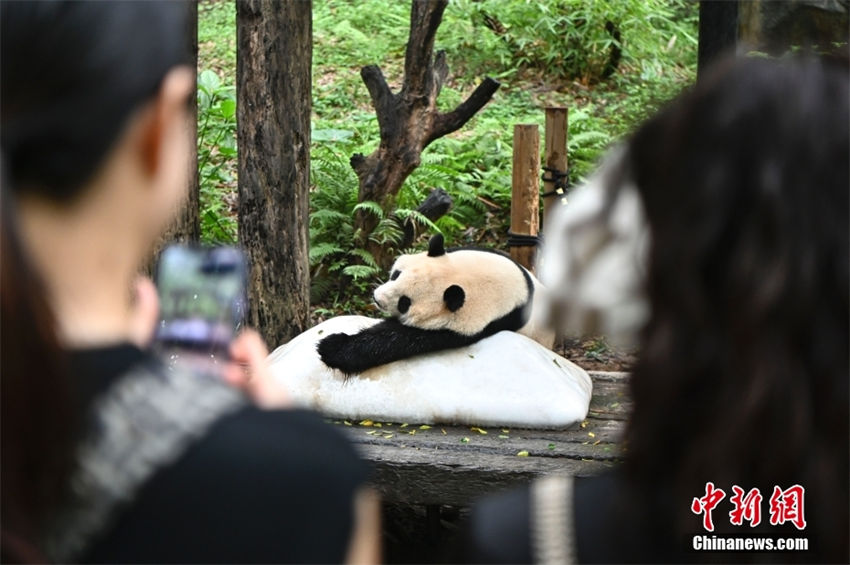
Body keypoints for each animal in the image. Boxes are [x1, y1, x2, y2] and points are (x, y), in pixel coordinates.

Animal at [316, 234, 548, 374]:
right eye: (396, 275)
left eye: (405, 302)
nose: (378, 299)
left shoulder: (462, 325)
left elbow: (396, 338)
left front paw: (332, 347)